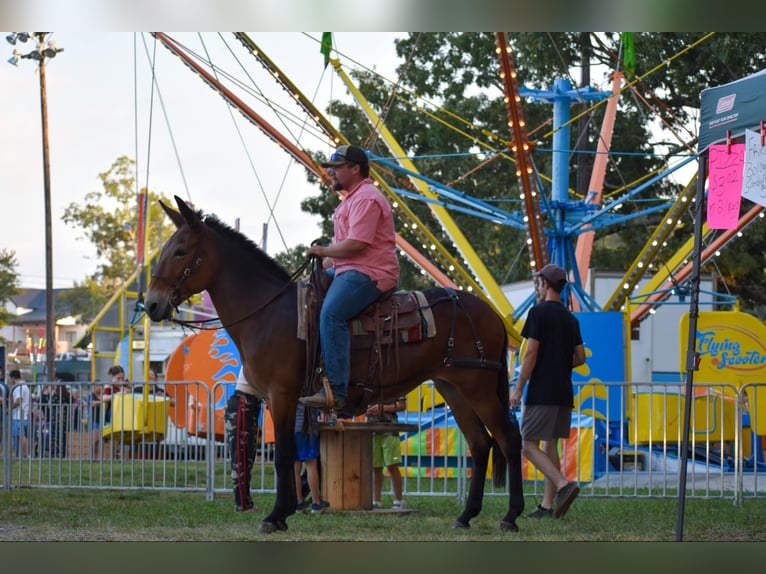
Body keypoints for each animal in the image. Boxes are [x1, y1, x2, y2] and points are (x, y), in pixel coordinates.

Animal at [146, 197, 524, 536]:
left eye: (180, 251)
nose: (151, 304)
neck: (268, 312)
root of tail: (491, 313)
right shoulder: (276, 399)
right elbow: (288, 456)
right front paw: (284, 513)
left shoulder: (282, 395)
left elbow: (284, 456)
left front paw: (276, 516)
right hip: (454, 387)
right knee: (480, 444)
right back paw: (466, 515)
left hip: (479, 388)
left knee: (508, 438)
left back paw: (511, 516)